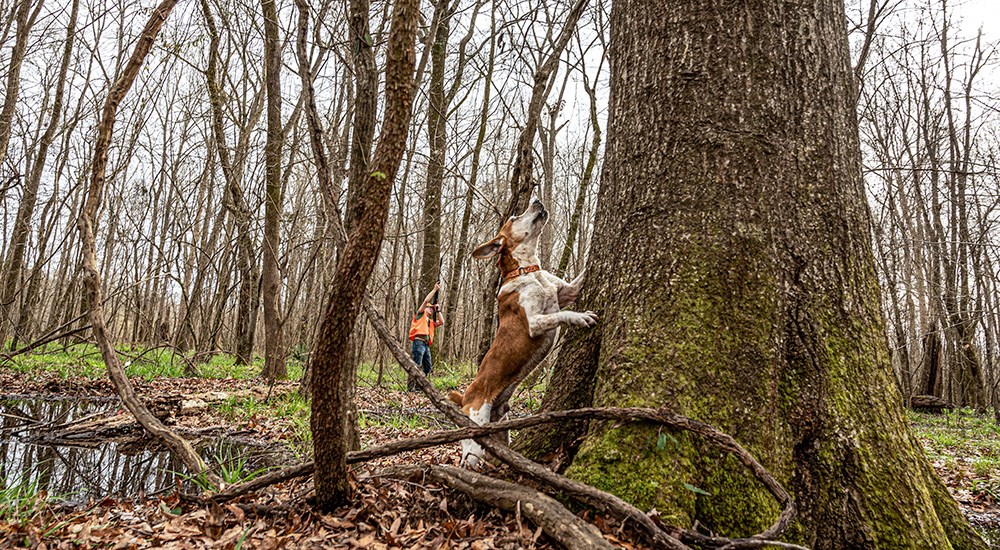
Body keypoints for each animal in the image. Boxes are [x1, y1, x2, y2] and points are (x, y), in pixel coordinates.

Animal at [450, 201, 596, 468]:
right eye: (515, 217)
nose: (537, 201)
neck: (527, 270)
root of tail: (465, 398)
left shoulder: (567, 291)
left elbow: (578, 281)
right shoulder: (535, 323)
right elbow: (563, 314)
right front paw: (581, 317)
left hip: (500, 432)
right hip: (474, 440)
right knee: (468, 459)